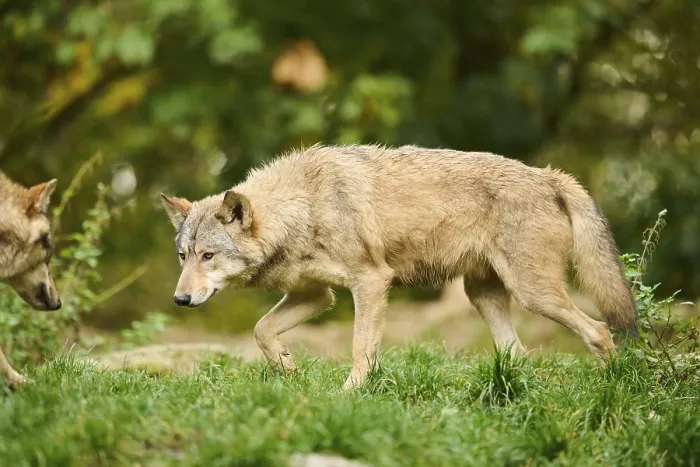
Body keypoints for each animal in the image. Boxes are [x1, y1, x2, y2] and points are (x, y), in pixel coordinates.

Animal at [161, 144, 637, 389]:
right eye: (184, 256)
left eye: (208, 256)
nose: (180, 298)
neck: (302, 208)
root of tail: (551, 176)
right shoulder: (317, 295)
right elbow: (262, 330)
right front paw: (288, 369)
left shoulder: (370, 282)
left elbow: (360, 348)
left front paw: (350, 395)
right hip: (484, 296)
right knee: (518, 353)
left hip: (533, 293)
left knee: (599, 329)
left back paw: (616, 385)